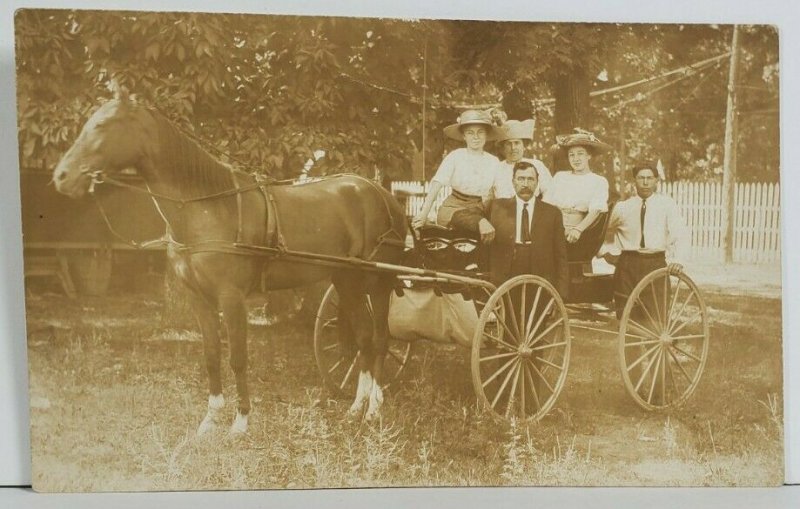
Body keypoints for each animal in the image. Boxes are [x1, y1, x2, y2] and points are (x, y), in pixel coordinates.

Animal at [51, 86, 406, 432]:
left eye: (102, 125)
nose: (61, 176)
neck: (206, 207)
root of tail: (382, 194)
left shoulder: (231, 298)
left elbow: (237, 357)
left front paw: (241, 422)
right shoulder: (199, 298)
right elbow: (211, 355)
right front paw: (209, 421)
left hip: (377, 284)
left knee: (379, 339)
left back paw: (373, 411)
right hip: (347, 282)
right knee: (363, 338)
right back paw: (356, 409)